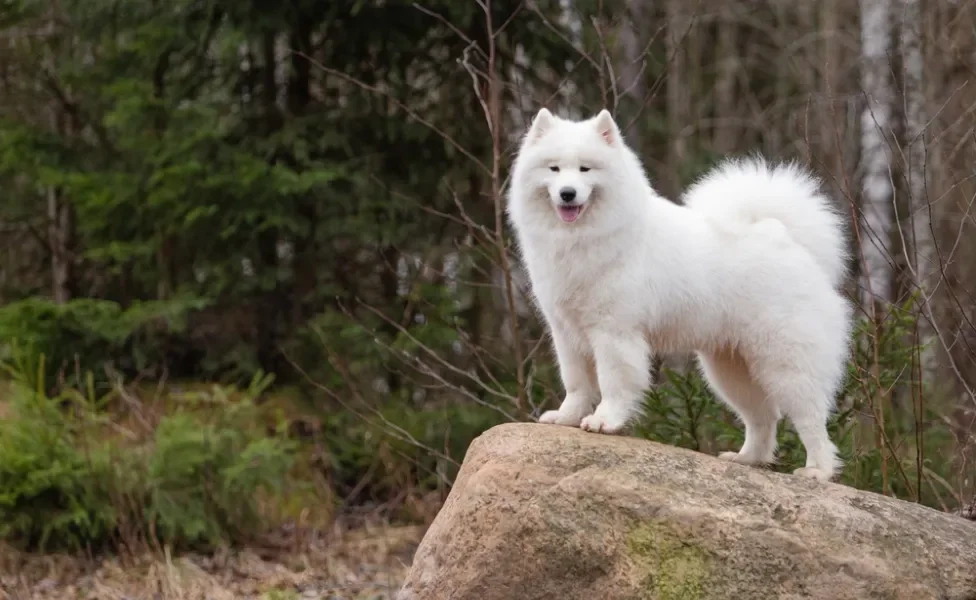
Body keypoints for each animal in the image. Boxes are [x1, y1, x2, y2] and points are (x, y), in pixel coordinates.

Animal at [508, 109, 852, 482]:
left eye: (586, 169)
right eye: (554, 169)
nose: (568, 194)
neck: (582, 238)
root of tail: (784, 236)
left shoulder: (613, 333)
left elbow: (613, 382)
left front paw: (604, 421)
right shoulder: (566, 332)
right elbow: (576, 383)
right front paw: (567, 418)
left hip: (786, 364)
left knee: (811, 419)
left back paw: (817, 471)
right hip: (730, 370)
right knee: (763, 418)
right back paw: (746, 459)